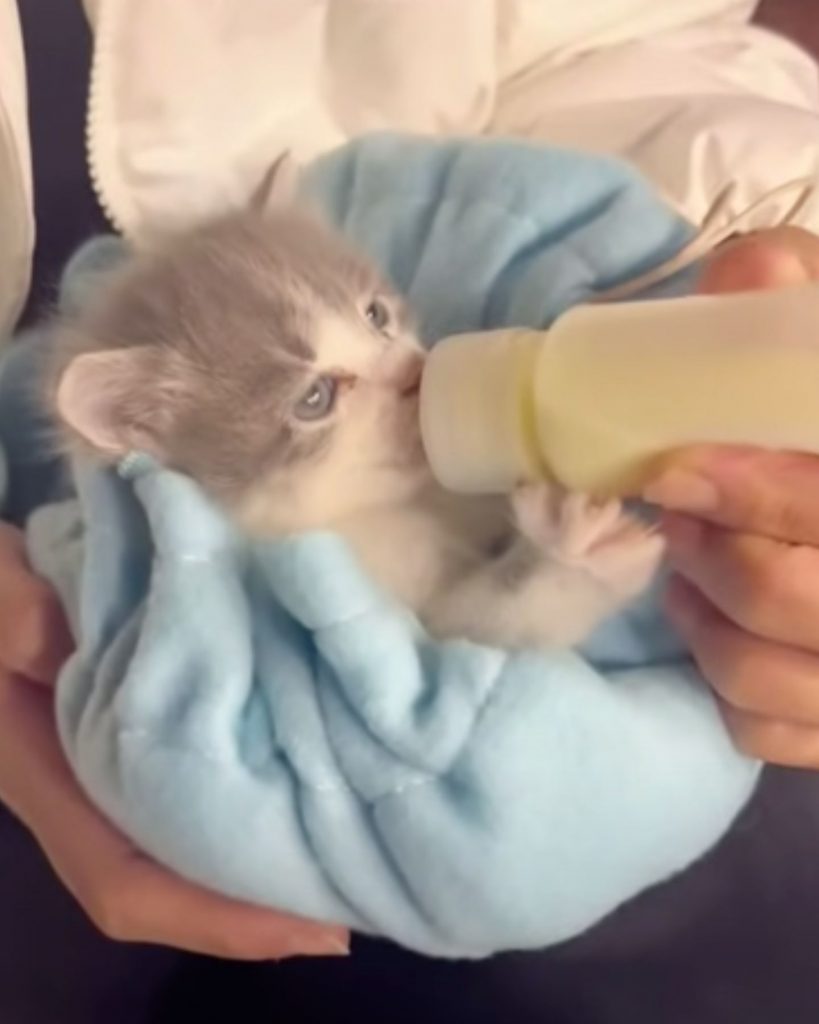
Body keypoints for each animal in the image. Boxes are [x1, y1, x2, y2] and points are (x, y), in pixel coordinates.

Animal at [44, 163, 663, 651]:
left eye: (375, 316)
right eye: (314, 398)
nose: (417, 376)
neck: (406, 504)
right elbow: (475, 628)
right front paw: (576, 557)